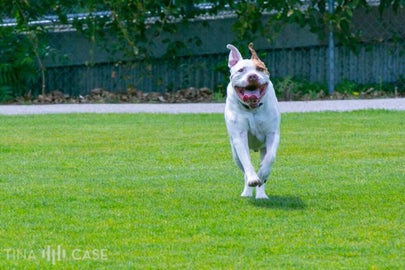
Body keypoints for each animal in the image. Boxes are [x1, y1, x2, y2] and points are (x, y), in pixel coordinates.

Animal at [223, 43, 280, 199]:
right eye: (241, 70)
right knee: (243, 167)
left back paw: (261, 194)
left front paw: (262, 173)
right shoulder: (239, 136)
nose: (252, 76)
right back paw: (247, 192)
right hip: (235, 154)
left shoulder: (272, 134)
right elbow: (246, 162)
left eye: (260, 69)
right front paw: (253, 178)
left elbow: (270, 157)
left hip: (262, 148)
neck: (252, 109)